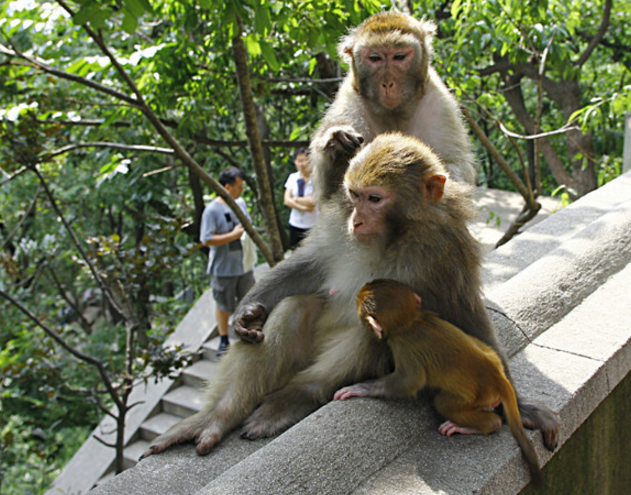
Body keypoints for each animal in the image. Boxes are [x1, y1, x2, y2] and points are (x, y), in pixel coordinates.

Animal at [336, 280, 544, 484]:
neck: (411, 320)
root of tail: (499, 379)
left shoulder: (402, 345)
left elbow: (410, 382)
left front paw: (361, 388)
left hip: (475, 397)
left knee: (444, 403)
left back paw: (478, 424)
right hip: (492, 358)